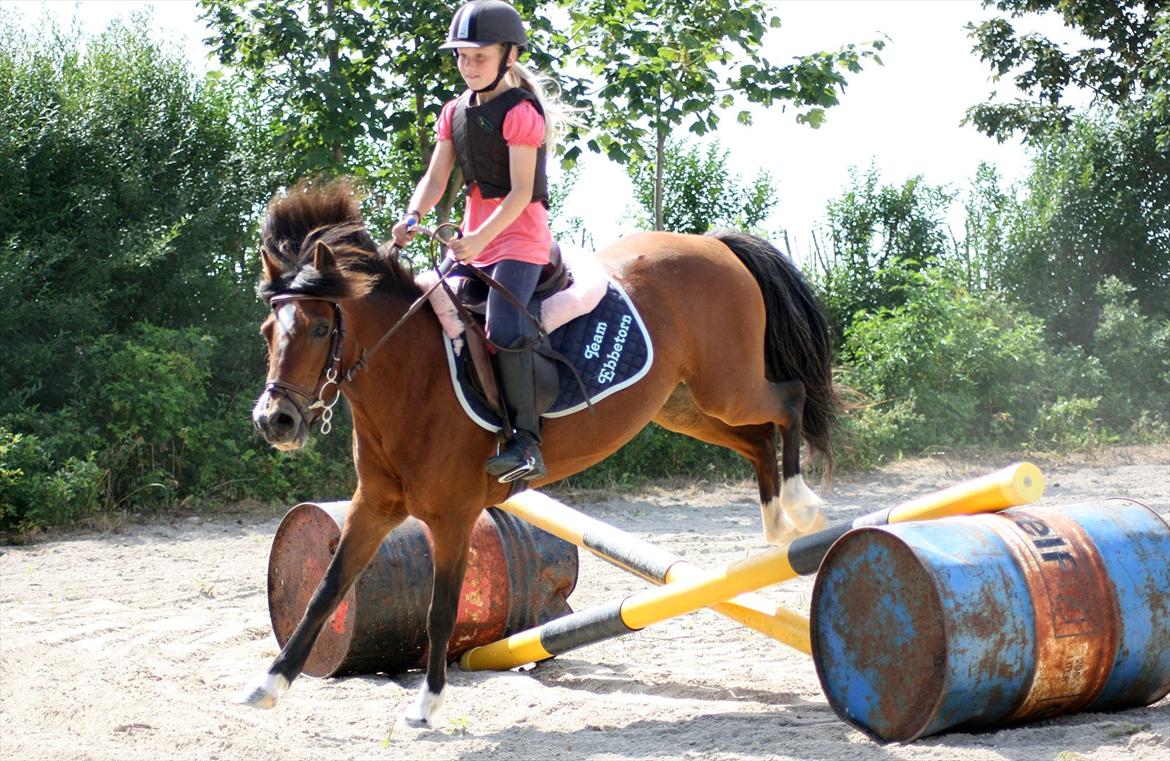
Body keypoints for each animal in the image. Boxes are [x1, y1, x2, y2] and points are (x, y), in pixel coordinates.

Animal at [239, 176, 842, 721]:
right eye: (268, 330)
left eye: (320, 329)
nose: (276, 421)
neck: (411, 378)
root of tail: (713, 244)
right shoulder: (374, 507)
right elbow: (326, 590)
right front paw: (268, 685)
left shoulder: (454, 516)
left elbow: (441, 611)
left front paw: (427, 704)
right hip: (684, 404)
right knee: (759, 436)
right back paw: (777, 523)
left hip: (726, 388)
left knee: (788, 400)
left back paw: (801, 506)